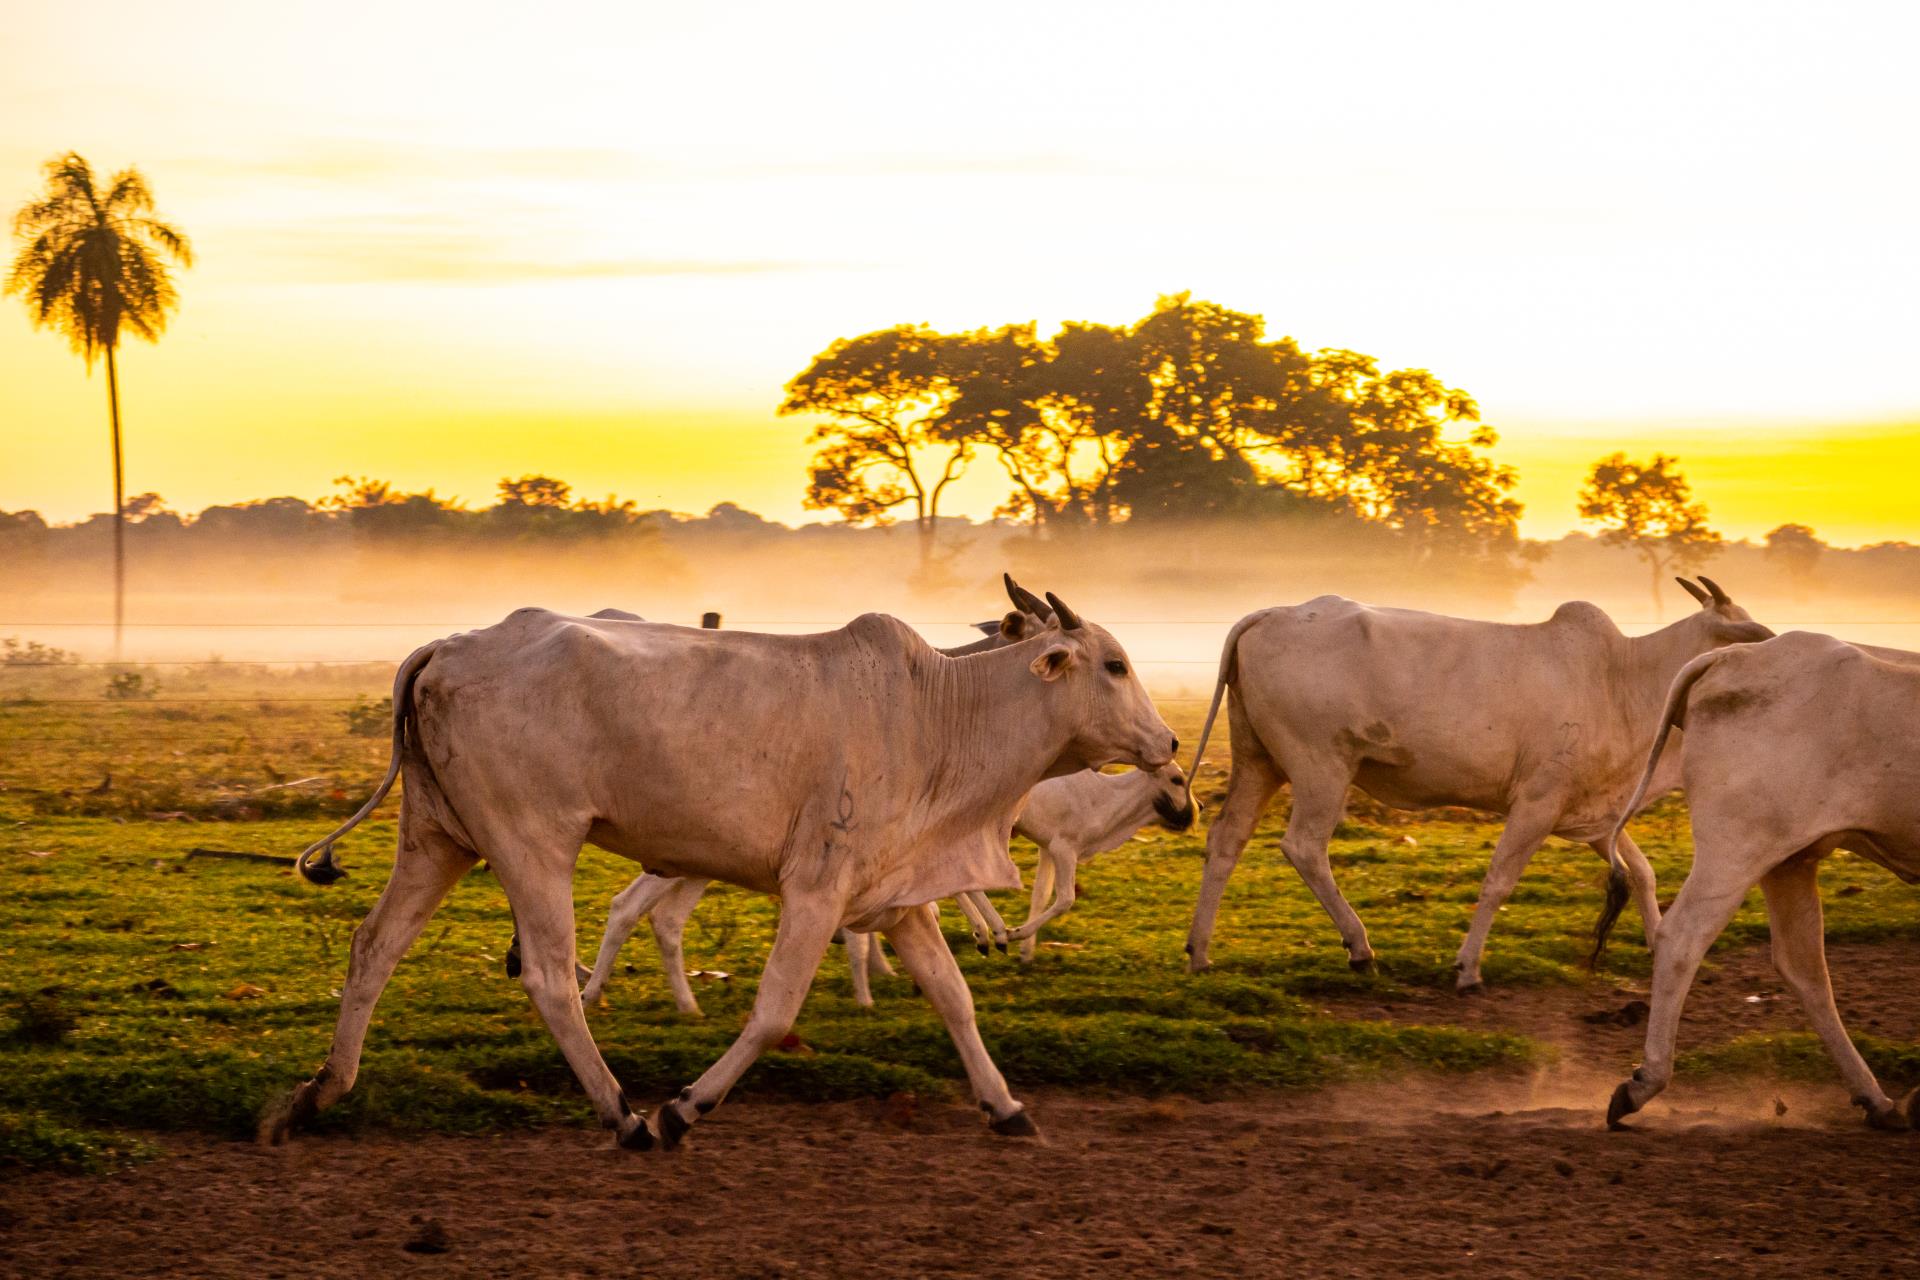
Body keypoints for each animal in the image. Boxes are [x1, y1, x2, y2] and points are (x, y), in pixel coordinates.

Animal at [576, 759, 1190, 1013]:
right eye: (1178, 778)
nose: (1194, 813)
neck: (1105, 806)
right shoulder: (1059, 844)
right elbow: (1058, 899)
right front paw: (1005, 937)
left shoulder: (1043, 848)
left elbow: (1037, 896)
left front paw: (1013, 947)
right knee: (627, 908)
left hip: (695, 869)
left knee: (657, 916)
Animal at [1182, 579, 1766, 990]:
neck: (1625, 678)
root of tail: (1273, 613)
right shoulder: (1537, 802)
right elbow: (1499, 881)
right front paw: (1467, 968)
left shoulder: (1595, 814)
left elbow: (1642, 874)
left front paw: (1654, 943)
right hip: (1321, 767)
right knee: (1304, 846)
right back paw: (1359, 947)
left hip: (1259, 762)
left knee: (1227, 838)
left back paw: (1200, 951)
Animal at [1605, 629, 1920, 1128]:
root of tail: (1733, 655)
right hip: (1738, 848)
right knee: (1682, 937)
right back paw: (1643, 1083)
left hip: (1788, 860)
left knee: (1804, 967)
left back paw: (1878, 1100)